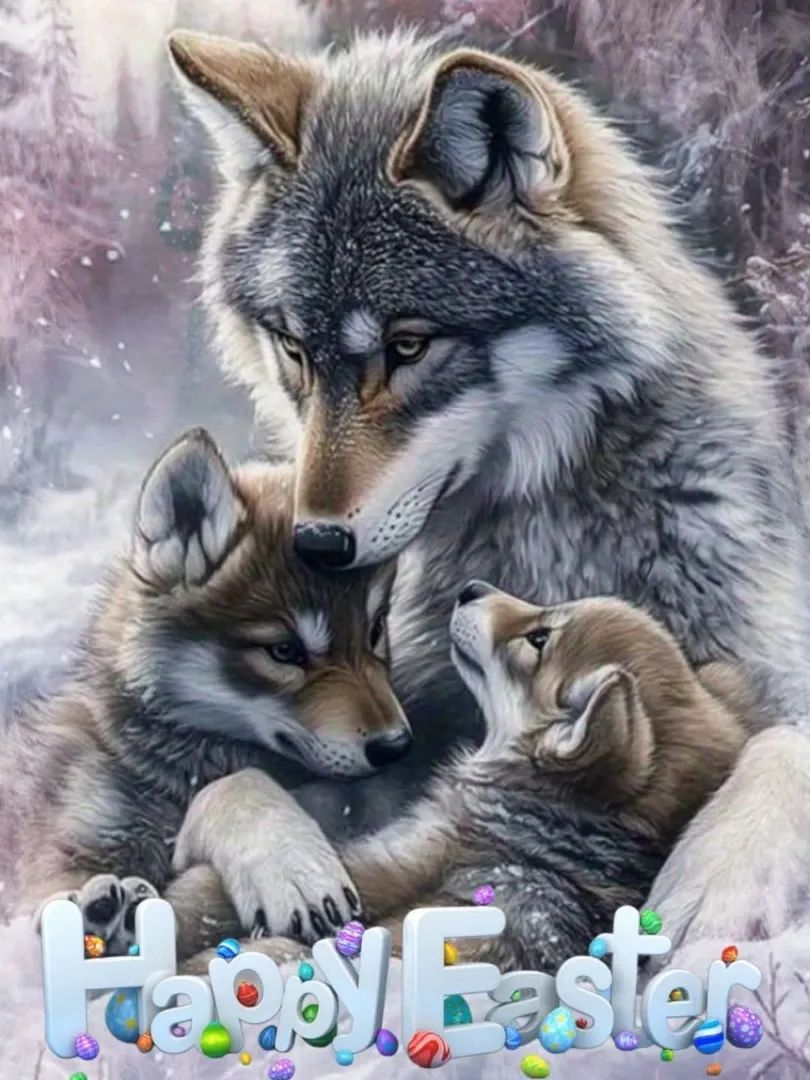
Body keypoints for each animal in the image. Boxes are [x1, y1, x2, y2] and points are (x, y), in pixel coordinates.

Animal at [1, 428, 408, 955]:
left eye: (375, 631)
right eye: (284, 651)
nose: (397, 746)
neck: (165, 772)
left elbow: (235, 786)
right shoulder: (51, 872)